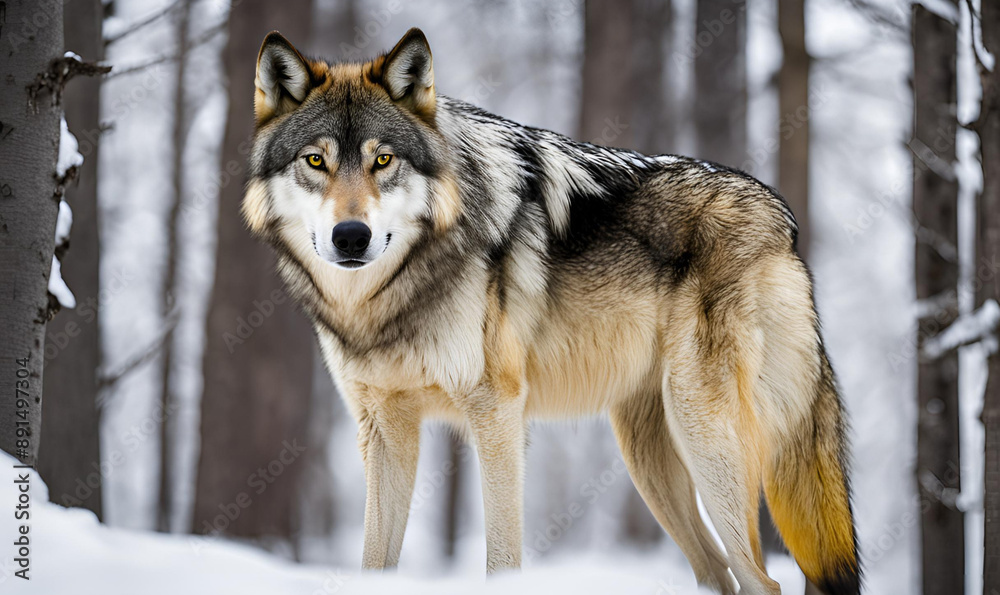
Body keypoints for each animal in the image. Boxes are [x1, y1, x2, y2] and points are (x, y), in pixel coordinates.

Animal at [242, 28, 861, 595]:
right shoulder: (385, 431)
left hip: (704, 437)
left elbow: (501, 561)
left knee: (764, 582)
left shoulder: (497, 416)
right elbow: (375, 565)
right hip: (650, 460)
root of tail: (783, 220)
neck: (391, 296)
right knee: (719, 574)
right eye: (315, 161)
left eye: (383, 160)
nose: (351, 236)